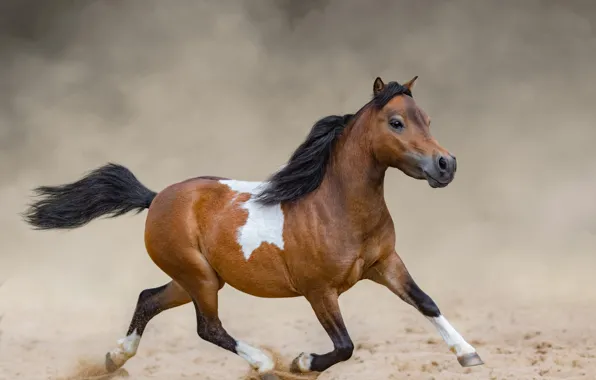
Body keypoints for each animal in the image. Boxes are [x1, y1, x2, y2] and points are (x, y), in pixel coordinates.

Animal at [23, 75, 484, 378]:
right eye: (396, 122)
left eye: (427, 118)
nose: (446, 165)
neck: (336, 207)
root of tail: (157, 198)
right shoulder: (319, 291)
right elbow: (345, 345)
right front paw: (301, 363)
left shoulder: (385, 264)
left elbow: (426, 303)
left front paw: (469, 354)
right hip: (200, 278)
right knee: (207, 327)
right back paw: (263, 362)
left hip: (196, 279)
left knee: (148, 299)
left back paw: (115, 358)